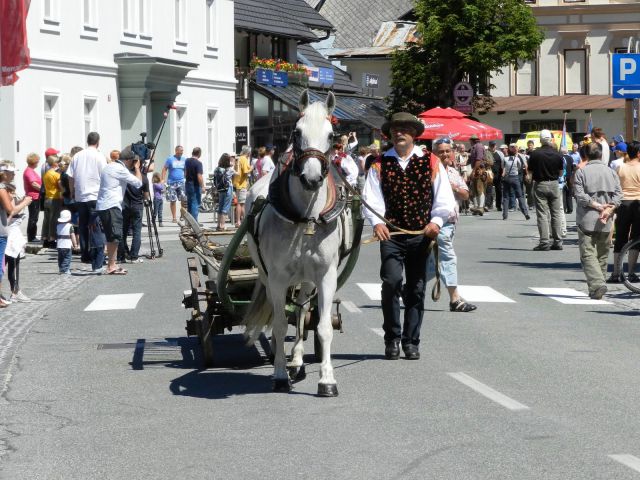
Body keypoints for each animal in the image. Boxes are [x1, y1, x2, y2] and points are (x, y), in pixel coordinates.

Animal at [242, 91, 340, 398]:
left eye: (332, 135)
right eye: (296, 133)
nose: (311, 178)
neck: (305, 219)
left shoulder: (325, 275)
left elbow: (322, 326)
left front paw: (327, 379)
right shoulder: (276, 277)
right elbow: (278, 323)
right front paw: (279, 374)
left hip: (306, 280)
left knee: (300, 311)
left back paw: (296, 360)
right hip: (267, 275)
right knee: (279, 314)